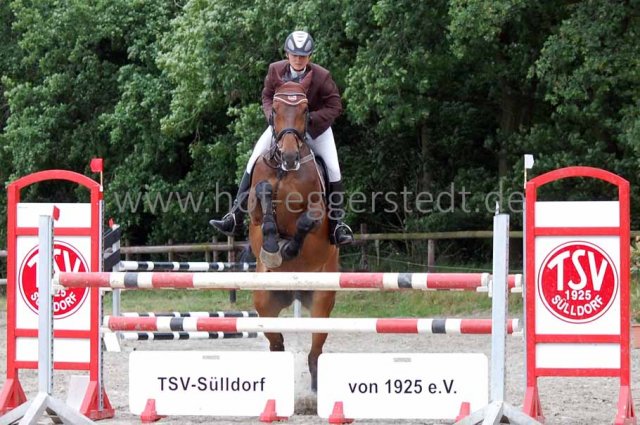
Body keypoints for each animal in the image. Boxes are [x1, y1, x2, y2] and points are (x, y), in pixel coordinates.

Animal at [247, 79, 338, 391]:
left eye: (305, 110)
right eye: (275, 109)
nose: (288, 157)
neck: (284, 172)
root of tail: (295, 292)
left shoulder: (318, 211)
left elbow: (306, 222)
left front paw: (286, 249)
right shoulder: (254, 212)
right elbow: (263, 196)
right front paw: (273, 246)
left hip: (322, 300)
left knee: (315, 350)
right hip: (264, 301)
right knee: (276, 343)